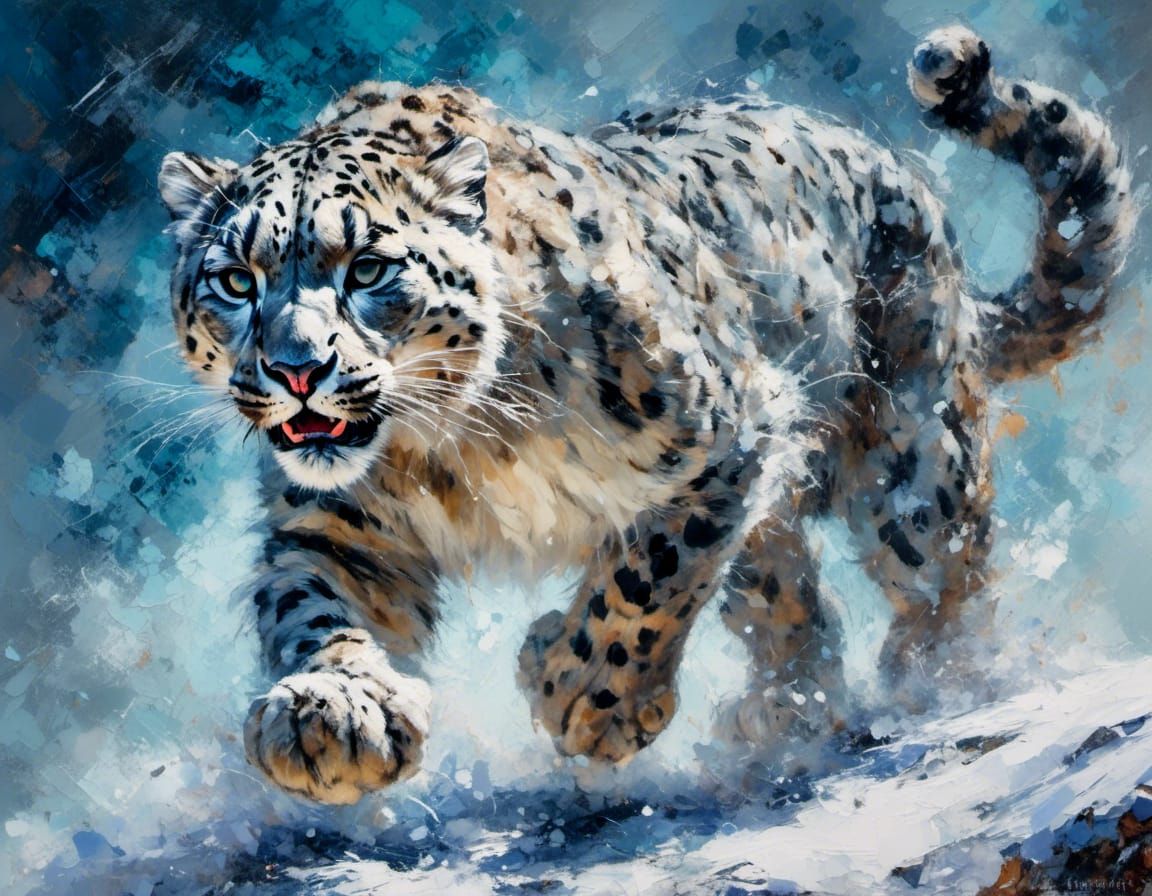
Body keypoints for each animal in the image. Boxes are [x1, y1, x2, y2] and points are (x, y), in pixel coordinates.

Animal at [156, 26, 1135, 804]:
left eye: (366, 268)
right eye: (235, 280)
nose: (296, 370)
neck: (449, 446)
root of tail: (902, 174)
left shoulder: (726, 433)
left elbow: (647, 579)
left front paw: (582, 696)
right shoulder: (337, 520)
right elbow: (309, 604)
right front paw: (333, 717)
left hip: (913, 451)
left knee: (943, 572)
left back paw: (934, 684)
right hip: (780, 535)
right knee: (796, 603)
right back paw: (779, 717)